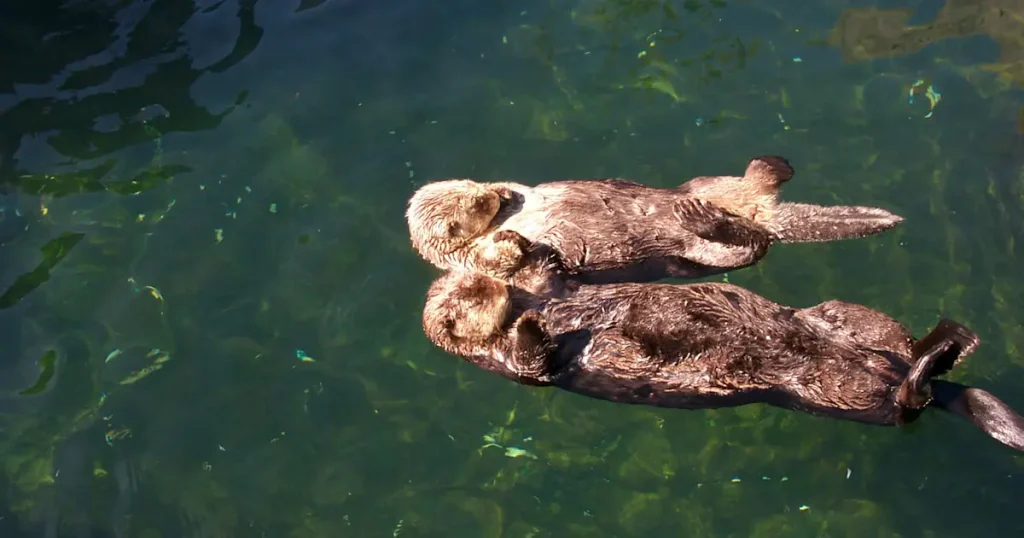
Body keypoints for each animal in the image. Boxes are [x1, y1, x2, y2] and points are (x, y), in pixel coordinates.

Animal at [405, 156, 904, 287]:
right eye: (474, 208)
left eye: (475, 191)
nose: (491, 196)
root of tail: (762, 213)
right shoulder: (474, 264)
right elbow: (518, 269)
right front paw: (513, 240)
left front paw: (508, 191)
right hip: (702, 254)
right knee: (748, 244)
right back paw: (703, 218)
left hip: (702, 180)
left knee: (754, 184)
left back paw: (771, 165)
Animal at [421, 269, 1024, 452]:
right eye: (469, 298)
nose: (494, 283)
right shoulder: (512, 362)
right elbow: (534, 362)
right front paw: (533, 326)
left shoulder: (553, 288)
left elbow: (553, 277)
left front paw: (531, 256)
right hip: (829, 388)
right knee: (905, 403)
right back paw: (938, 358)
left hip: (846, 319)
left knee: (894, 341)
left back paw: (952, 339)